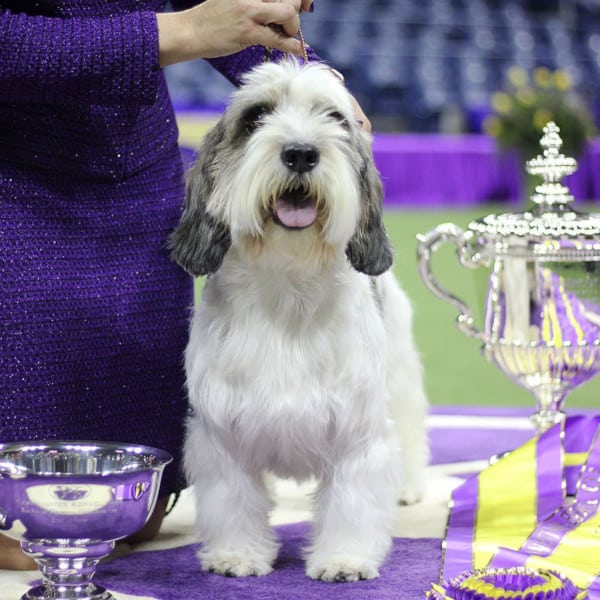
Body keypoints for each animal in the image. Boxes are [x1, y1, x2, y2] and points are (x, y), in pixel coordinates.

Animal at [171, 59, 428, 580]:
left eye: (334, 117)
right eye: (256, 117)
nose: (301, 153)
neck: (288, 287)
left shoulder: (357, 432)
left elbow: (353, 500)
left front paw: (345, 558)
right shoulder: (222, 436)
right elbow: (233, 499)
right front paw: (237, 554)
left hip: (400, 376)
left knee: (410, 429)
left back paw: (409, 486)